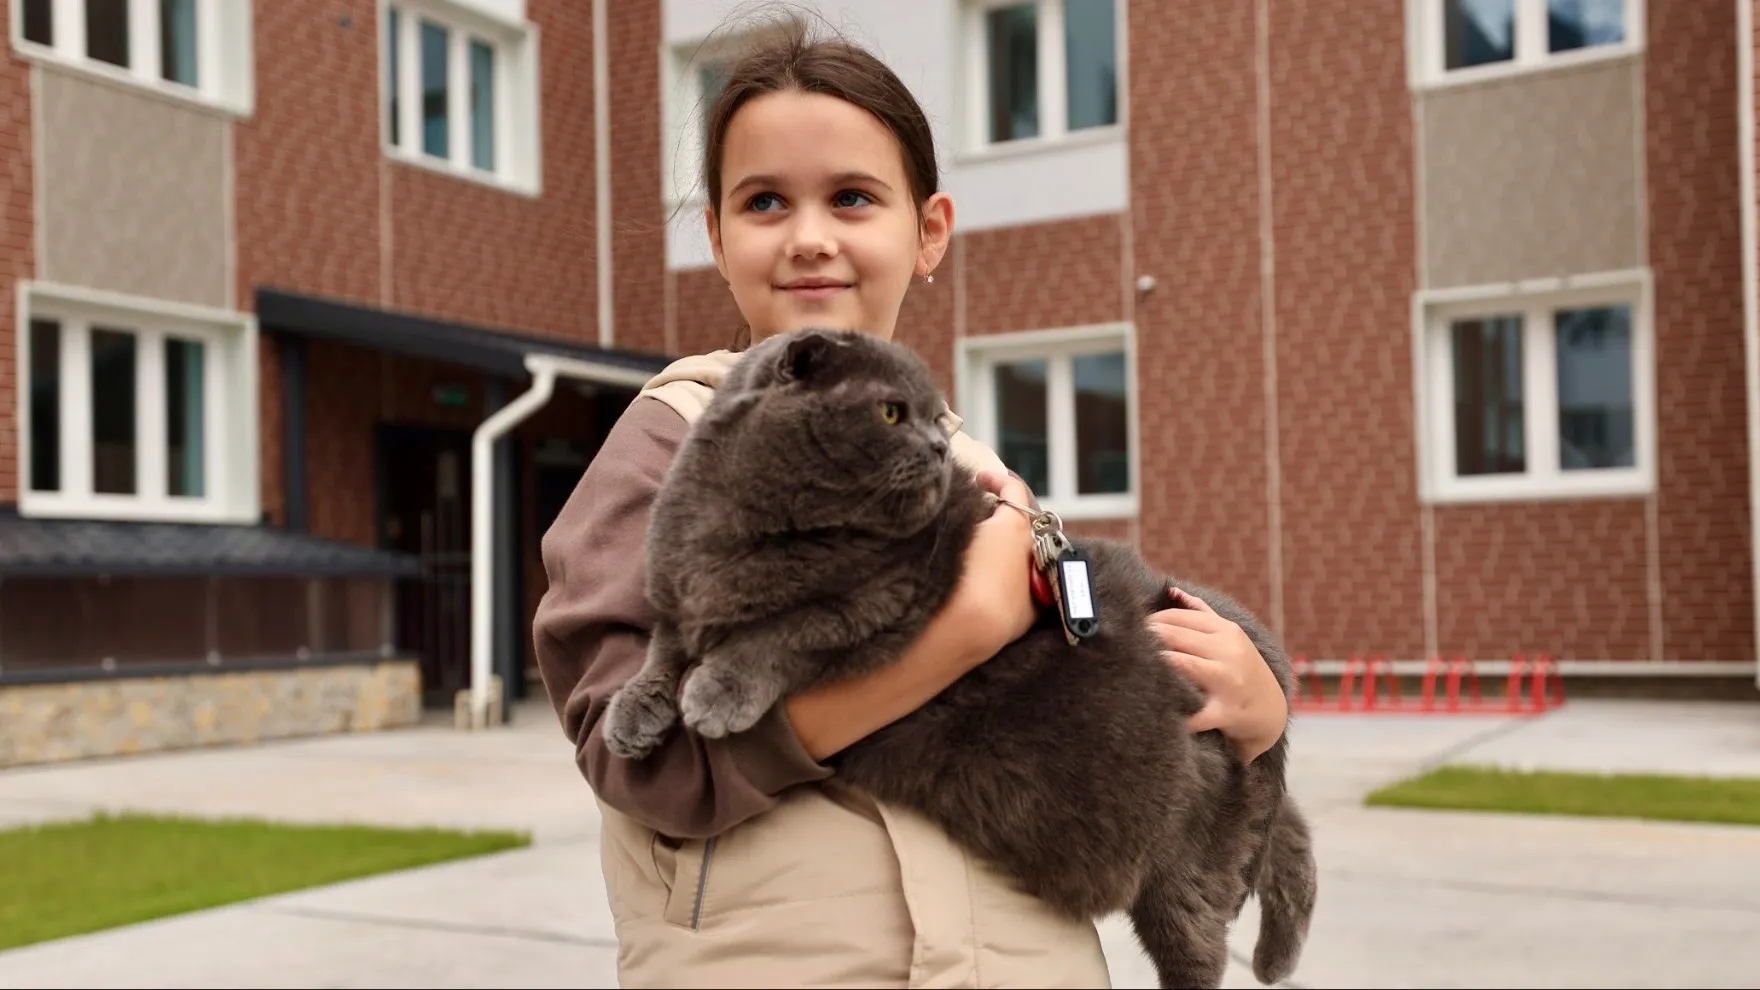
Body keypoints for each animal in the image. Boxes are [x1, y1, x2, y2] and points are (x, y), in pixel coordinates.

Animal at [605, 327, 1323, 979]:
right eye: (892, 412)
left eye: (933, 417)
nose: (938, 445)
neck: (750, 527)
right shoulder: (675, 593)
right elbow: (660, 653)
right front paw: (631, 715)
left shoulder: (876, 607)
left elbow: (776, 637)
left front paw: (716, 692)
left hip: (1181, 866)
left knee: (1204, 942)